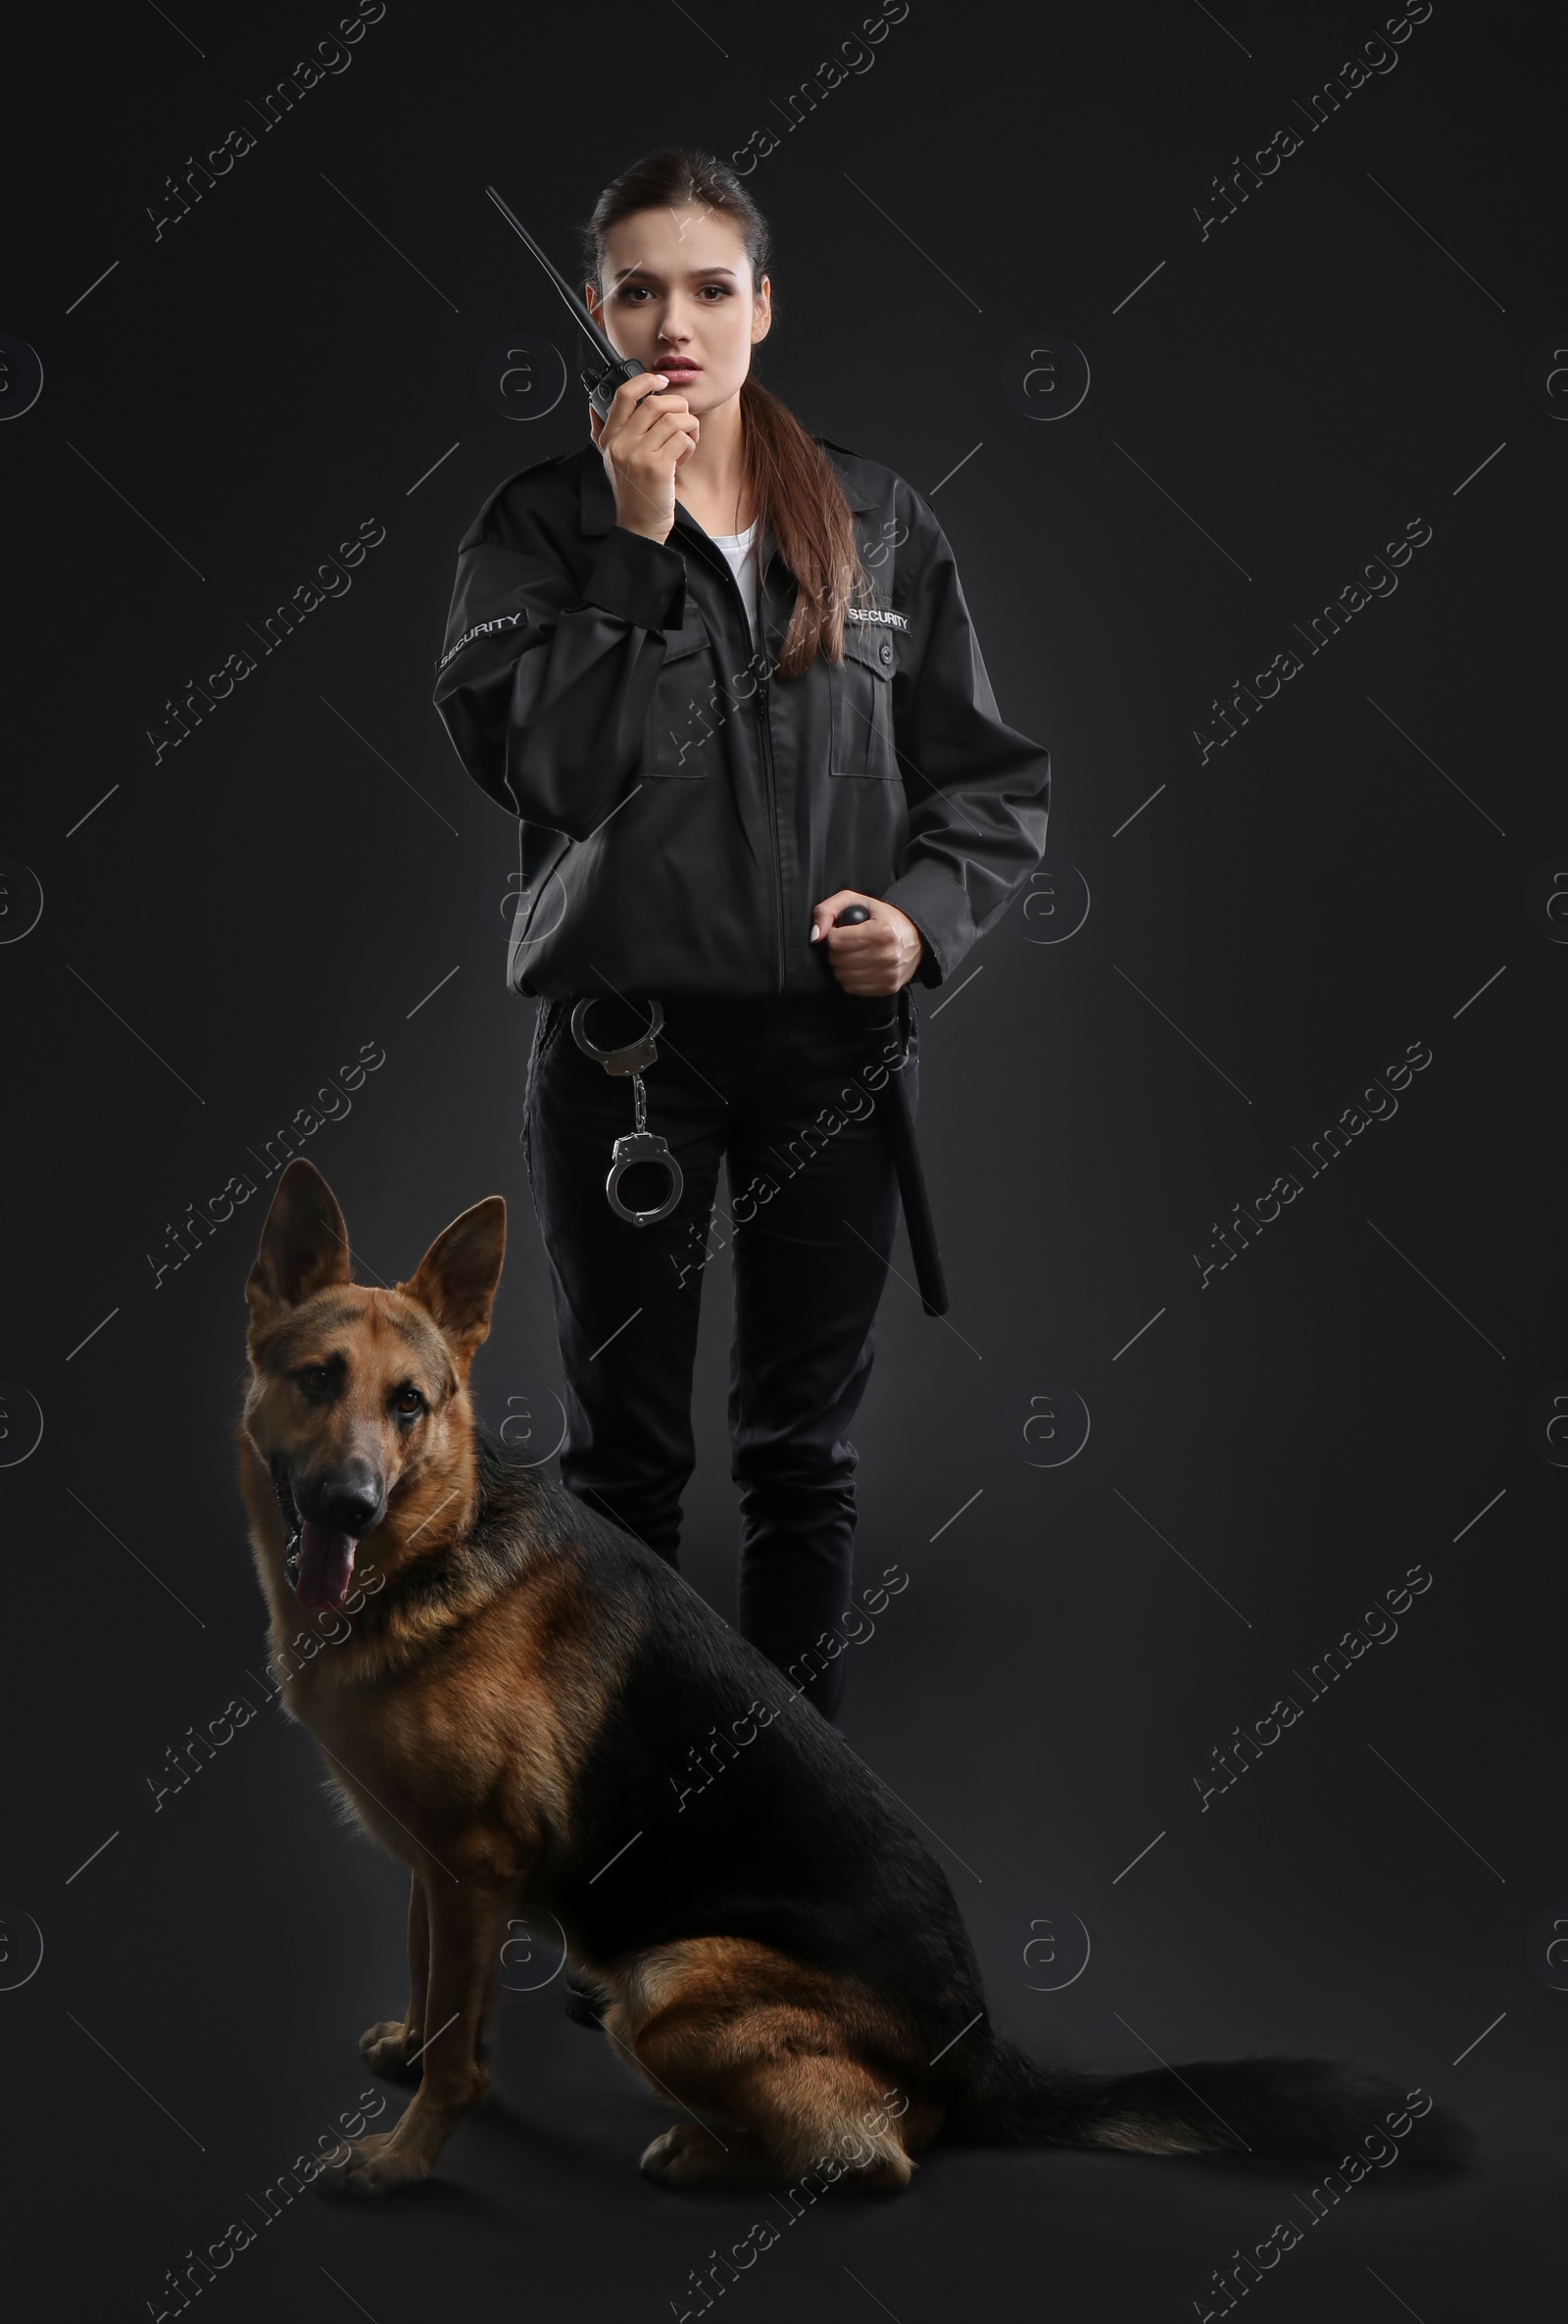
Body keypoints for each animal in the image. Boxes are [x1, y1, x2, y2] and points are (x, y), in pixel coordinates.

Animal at [235, 1162, 1468, 2194]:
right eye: (317, 1381)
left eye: (409, 1404)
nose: (351, 1504)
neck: (433, 1548)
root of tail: (982, 2049)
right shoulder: (440, 1867)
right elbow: (426, 1976)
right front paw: (406, 2046)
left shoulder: (476, 1865)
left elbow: (464, 2051)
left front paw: (402, 2159)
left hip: (669, 1991)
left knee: (878, 2154)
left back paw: (707, 2154)